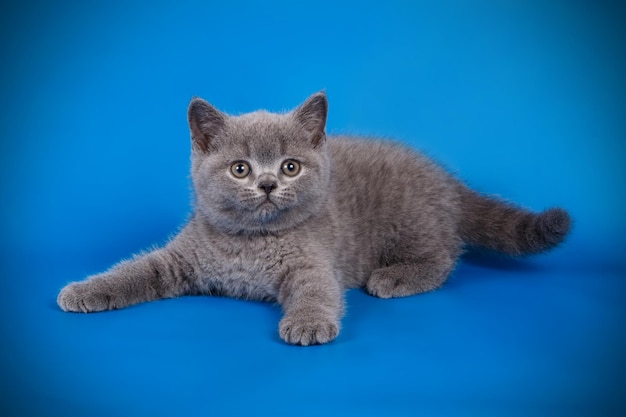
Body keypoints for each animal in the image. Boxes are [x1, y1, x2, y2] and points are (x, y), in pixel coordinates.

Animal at [58, 91, 572, 344]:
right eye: (241, 169)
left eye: (290, 167)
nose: (268, 184)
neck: (250, 241)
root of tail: (444, 178)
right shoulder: (181, 258)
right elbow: (136, 271)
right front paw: (84, 290)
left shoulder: (314, 261)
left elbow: (315, 290)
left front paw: (307, 323)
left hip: (410, 223)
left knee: (445, 256)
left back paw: (395, 277)